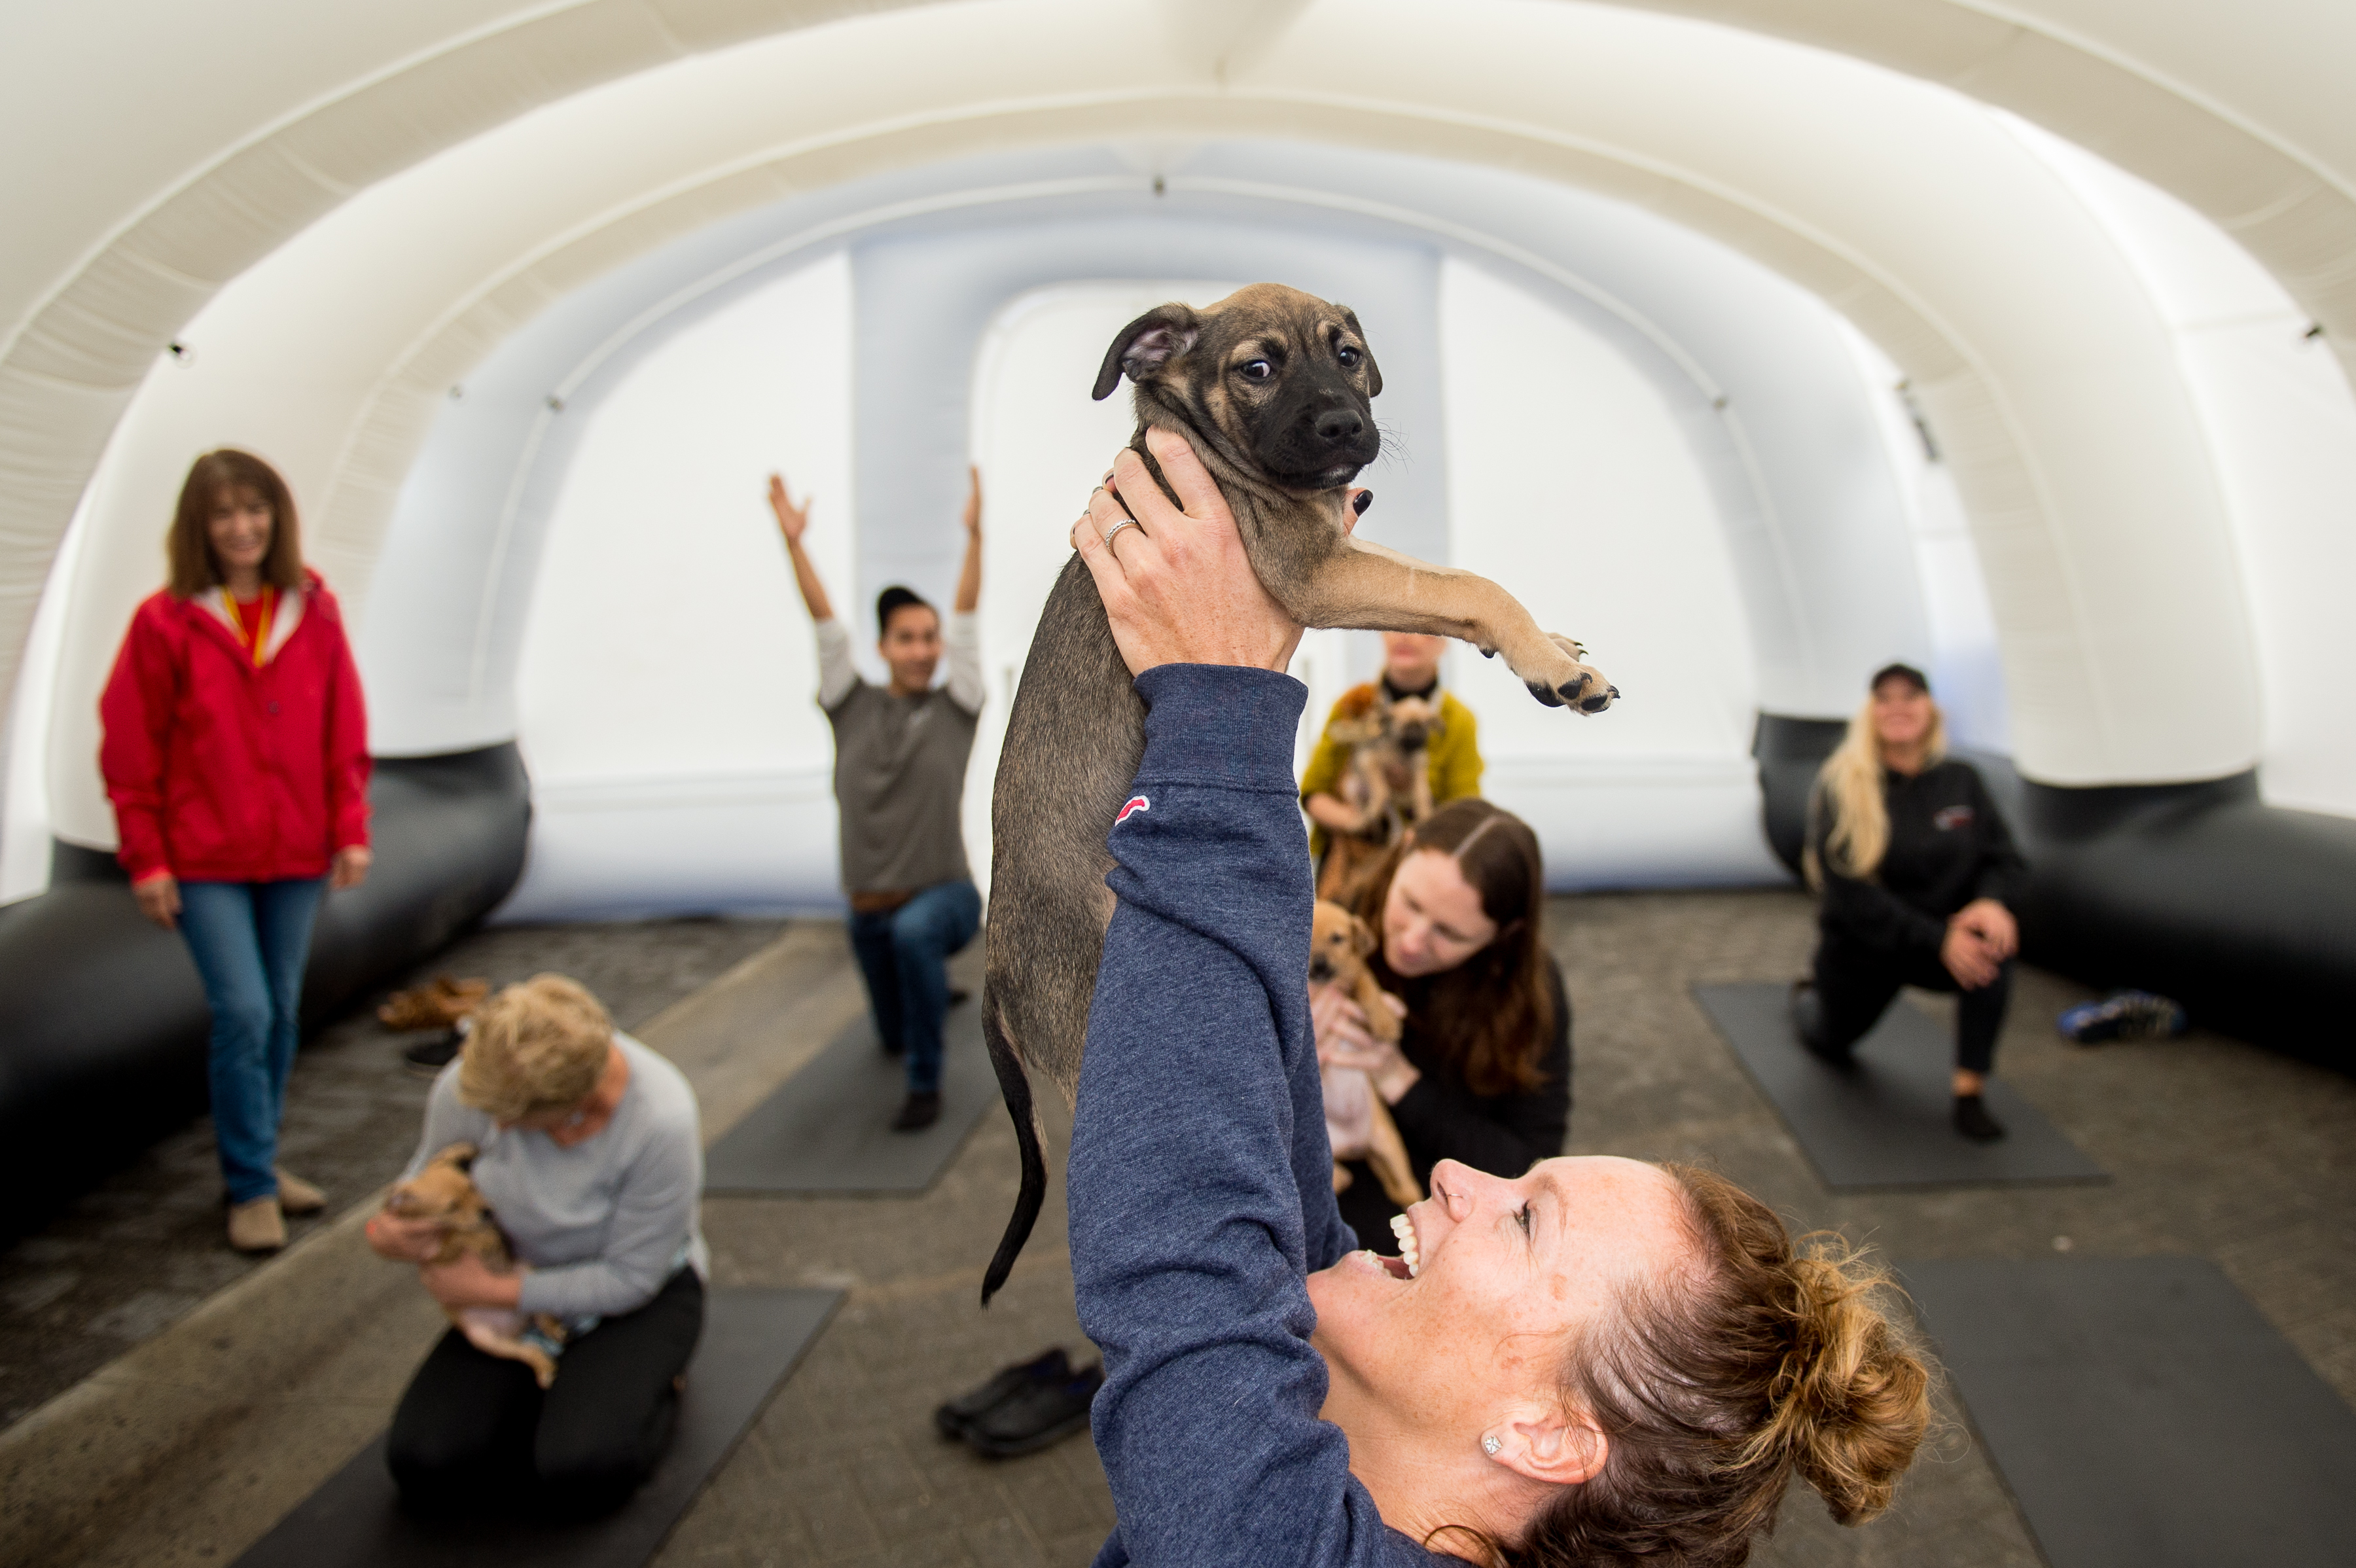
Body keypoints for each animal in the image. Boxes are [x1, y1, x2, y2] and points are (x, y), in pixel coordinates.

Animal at [391, 1144, 570, 1384]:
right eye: (452, 1207)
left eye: (472, 1186)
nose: (487, 1212)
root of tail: (516, 1325)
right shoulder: (438, 1254)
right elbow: (456, 1236)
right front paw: (480, 1238)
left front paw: (458, 1150)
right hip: (486, 1340)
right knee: (527, 1350)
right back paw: (543, 1367)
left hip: (528, 1274)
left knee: (541, 1317)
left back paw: (554, 1331)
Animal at [1310, 899, 1414, 1200]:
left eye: (1337, 939)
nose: (1319, 965)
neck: (1325, 986)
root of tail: (1357, 1146)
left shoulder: (1357, 979)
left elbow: (1367, 985)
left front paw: (1385, 1022)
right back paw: (1341, 1177)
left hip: (1389, 1144)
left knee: (1407, 1187)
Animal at [1319, 687, 1442, 904]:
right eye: (1405, 727)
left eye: (1424, 726)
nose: (1417, 739)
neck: (1401, 752)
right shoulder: (1371, 762)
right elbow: (1381, 788)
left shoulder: (1418, 772)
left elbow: (1421, 796)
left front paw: (1425, 815)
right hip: (1353, 787)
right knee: (1368, 805)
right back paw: (1363, 819)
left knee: (1395, 815)